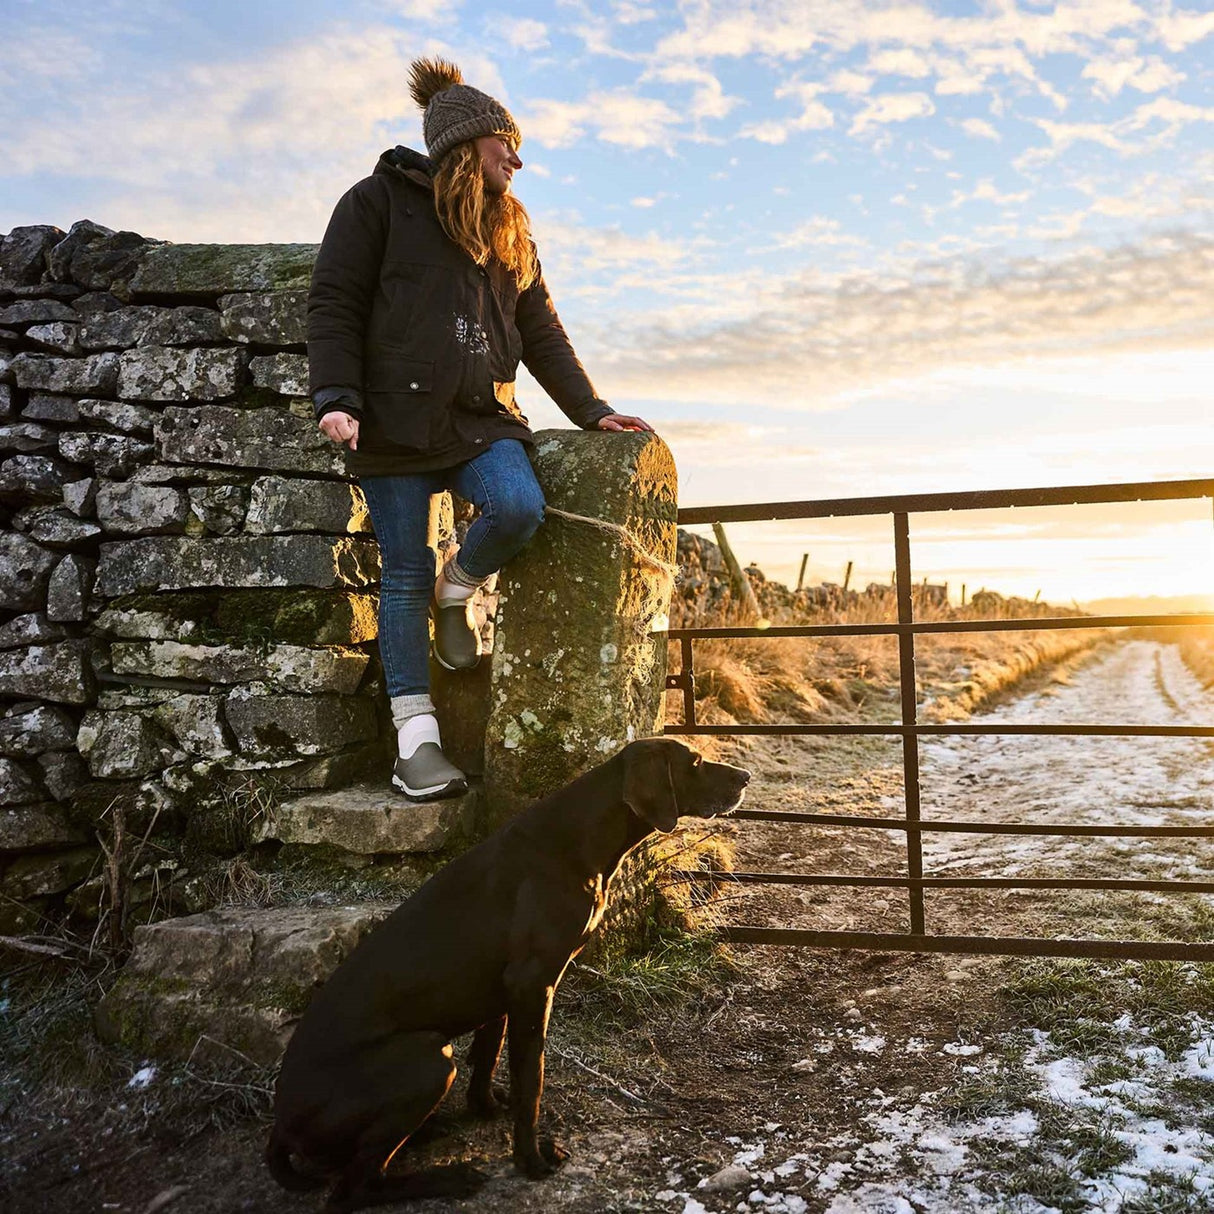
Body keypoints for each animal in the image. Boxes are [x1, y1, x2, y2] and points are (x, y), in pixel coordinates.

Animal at [265, 733, 747, 1209]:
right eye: (695, 762)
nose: (745, 776)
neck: (577, 838)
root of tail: (280, 1126)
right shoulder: (533, 985)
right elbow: (530, 1080)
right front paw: (530, 1160)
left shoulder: (501, 994)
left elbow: (489, 1056)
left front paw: (486, 1108)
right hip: (428, 1058)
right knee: (353, 1189)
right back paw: (448, 1177)